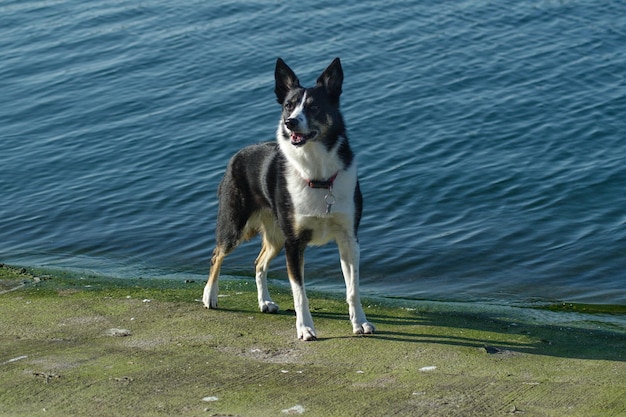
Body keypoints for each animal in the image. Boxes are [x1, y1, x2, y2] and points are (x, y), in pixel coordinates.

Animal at [202, 57, 372, 340]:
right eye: (288, 106)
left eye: (314, 106)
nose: (290, 122)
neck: (317, 173)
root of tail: (237, 155)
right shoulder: (294, 244)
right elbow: (299, 293)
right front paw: (305, 328)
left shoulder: (349, 239)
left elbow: (353, 288)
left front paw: (359, 322)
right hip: (236, 226)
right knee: (217, 254)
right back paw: (210, 295)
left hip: (276, 235)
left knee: (258, 263)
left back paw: (264, 302)